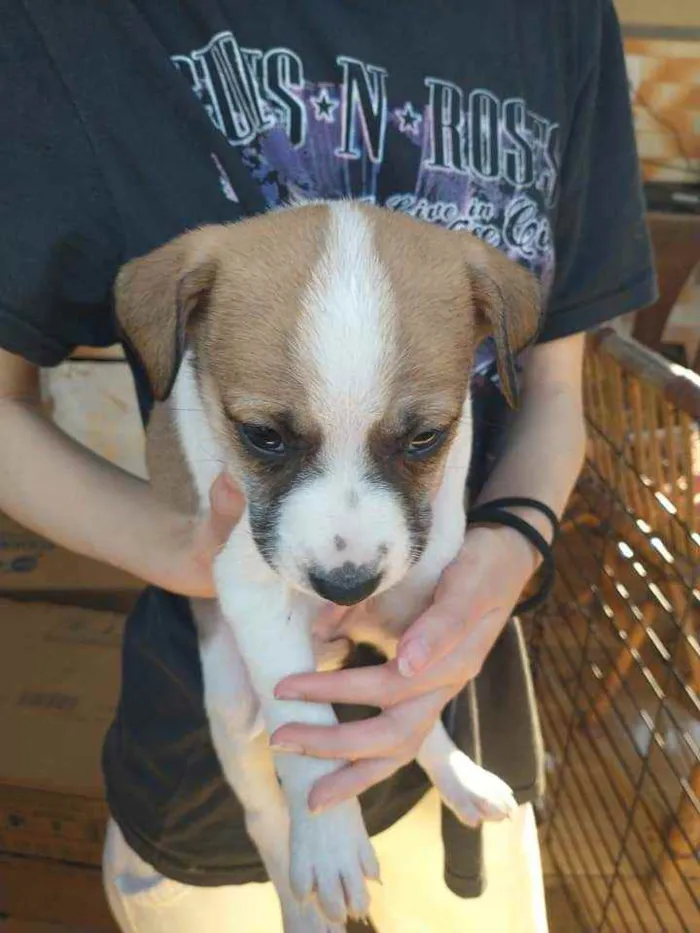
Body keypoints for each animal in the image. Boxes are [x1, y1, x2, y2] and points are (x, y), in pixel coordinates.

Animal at [116, 202, 540, 932]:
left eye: (425, 437)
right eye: (262, 436)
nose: (347, 587)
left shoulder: (419, 594)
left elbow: (414, 700)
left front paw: (444, 763)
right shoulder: (254, 590)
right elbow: (307, 736)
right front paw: (330, 845)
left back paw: (460, 779)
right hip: (229, 700)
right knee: (263, 810)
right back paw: (301, 900)